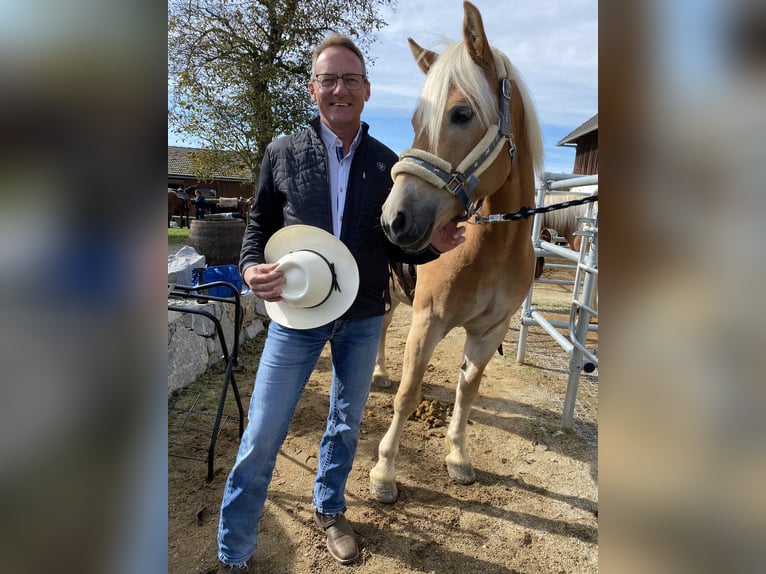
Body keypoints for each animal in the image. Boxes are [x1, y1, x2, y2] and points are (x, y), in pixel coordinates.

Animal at [370, 0, 544, 504]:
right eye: (414, 122)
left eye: (462, 114)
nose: (395, 219)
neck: (492, 247)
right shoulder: (428, 322)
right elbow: (408, 395)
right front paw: (384, 471)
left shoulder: (489, 332)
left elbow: (468, 393)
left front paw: (458, 456)